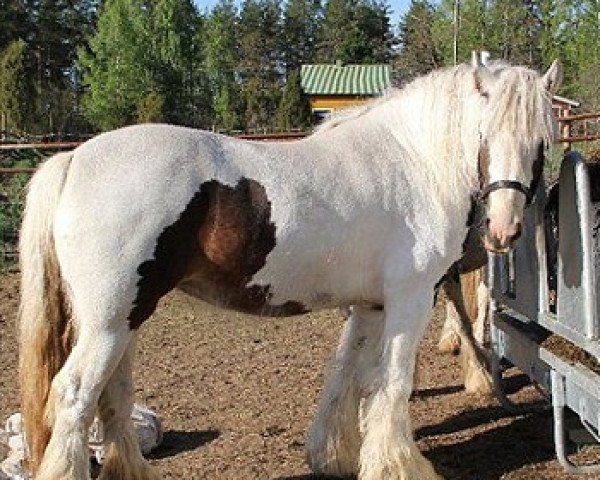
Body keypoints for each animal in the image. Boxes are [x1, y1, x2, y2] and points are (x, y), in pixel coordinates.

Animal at [19, 57, 564, 480]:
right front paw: (398, 466)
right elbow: (390, 384)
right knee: (74, 396)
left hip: (126, 317)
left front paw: (334, 456)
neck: (412, 161)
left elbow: (348, 377)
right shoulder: (409, 301)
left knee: (112, 395)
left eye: (541, 142)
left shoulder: (369, 307)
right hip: (110, 323)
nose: (503, 229)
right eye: (484, 135)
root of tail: (74, 160)